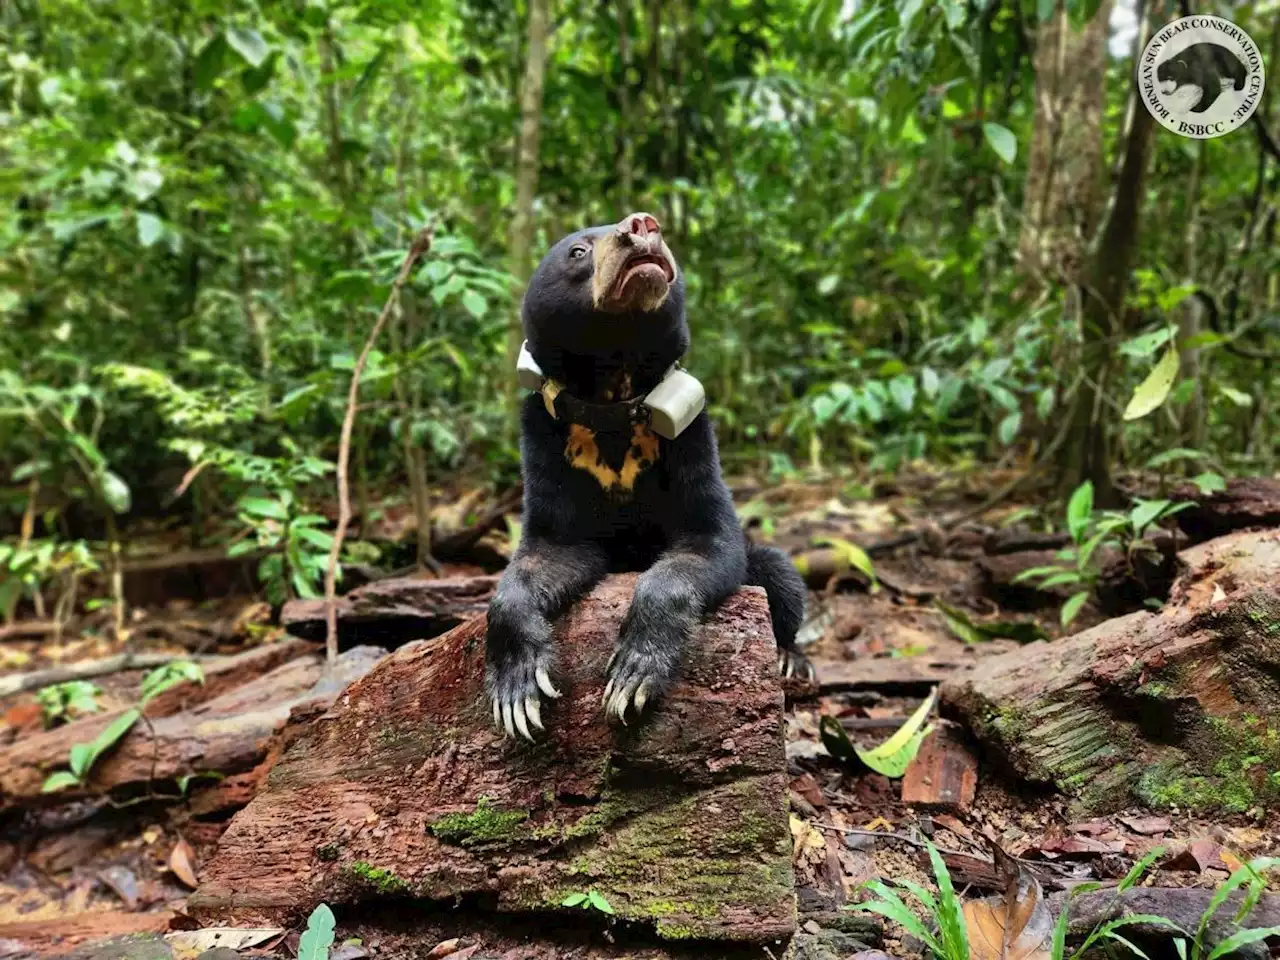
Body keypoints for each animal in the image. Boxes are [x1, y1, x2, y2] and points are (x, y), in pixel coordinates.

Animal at [483, 209, 814, 742]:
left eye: (653, 230)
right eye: (578, 250)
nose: (641, 224)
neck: (613, 395)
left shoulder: (691, 439)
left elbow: (707, 543)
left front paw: (633, 674)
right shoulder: (546, 444)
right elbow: (545, 555)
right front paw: (517, 692)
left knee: (778, 573)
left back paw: (790, 659)